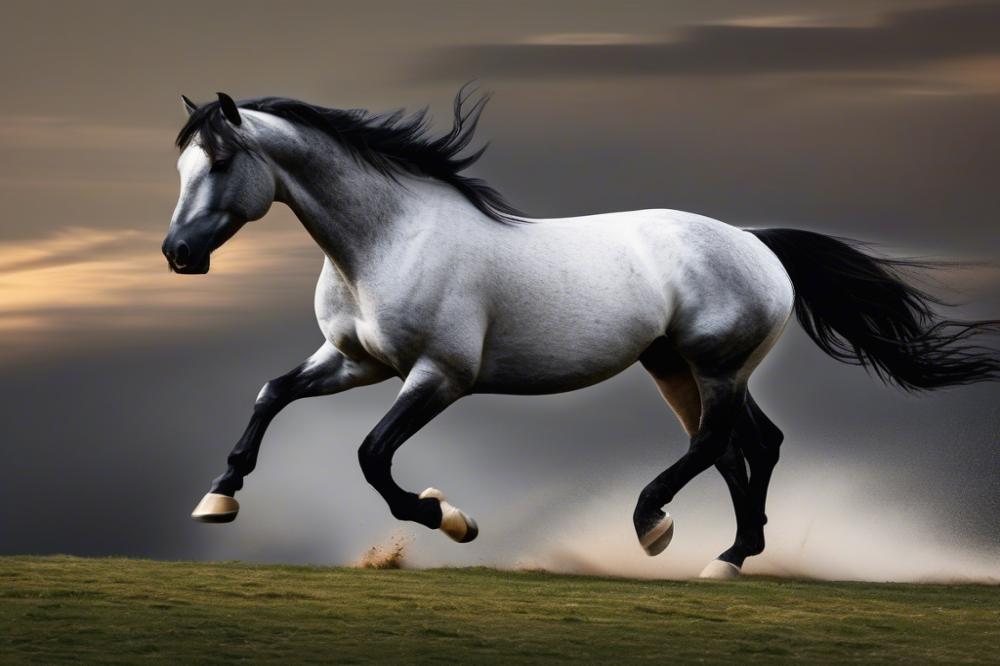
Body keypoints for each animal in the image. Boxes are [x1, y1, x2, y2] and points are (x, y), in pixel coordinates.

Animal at [163, 90, 999, 579]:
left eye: (224, 159)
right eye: (180, 164)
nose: (177, 254)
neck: (386, 241)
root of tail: (754, 241)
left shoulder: (440, 376)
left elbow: (372, 457)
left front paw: (450, 518)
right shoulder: (352, 362)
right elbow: (272, 393)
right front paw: (218, 498)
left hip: (715, 366)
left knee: (718, 443)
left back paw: (655, 525)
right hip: (676, 369)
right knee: (748, 446)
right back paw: (731, 558)